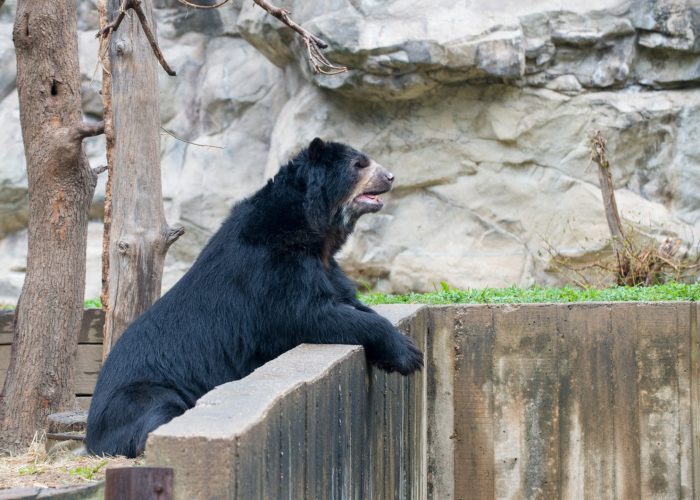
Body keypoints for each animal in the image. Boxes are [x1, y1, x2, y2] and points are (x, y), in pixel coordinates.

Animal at [86, 139, 426, 458]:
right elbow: (310, 313)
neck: (312, 229)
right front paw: (410, 354)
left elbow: (346, 300)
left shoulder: (324, 266)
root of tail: (90, 434)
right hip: (139, 393)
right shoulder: (272, 267)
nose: (390, 177)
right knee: (154, 410)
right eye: (360, 164)